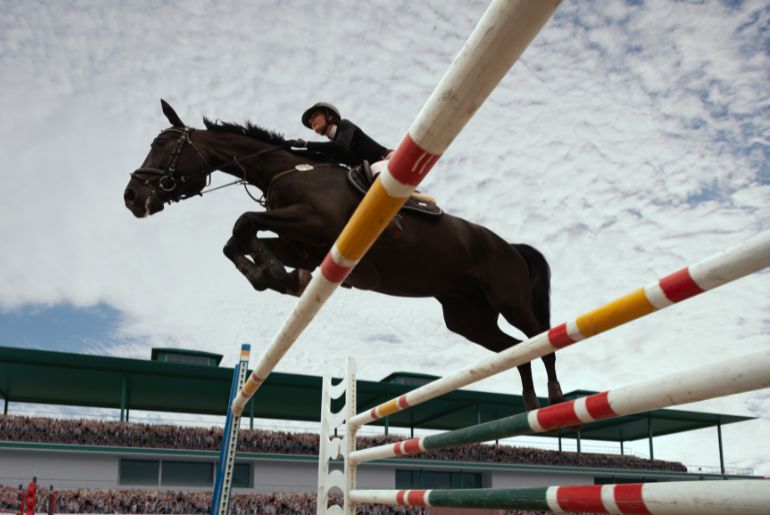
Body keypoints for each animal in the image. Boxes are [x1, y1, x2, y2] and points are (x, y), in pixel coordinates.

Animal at [121, 99, 564, 410]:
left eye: (162, 145)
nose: (132, 197)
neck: (286, 171)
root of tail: (511, 246)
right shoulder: (302, 243)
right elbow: (237, 238)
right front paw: (275, 276)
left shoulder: (315, 225)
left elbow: (244, 221)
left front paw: (273, 273)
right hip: (466, 317)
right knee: (512, 349)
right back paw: (529, 402)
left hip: (509, 299)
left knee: (538, 337)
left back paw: (556, 395)